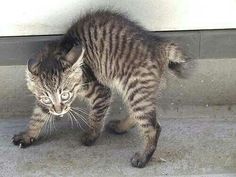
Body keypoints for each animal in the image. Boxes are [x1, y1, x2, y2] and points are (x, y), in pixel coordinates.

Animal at [12, 10, 190, 168]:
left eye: (65, 94)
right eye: (46, 98)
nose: (58, 111)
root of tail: (159, 47)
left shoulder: (101, 91)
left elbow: (96, 116)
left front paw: (91, 136)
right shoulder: (44, 102)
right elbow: (37, 116)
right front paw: (28, 135)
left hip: (136, 88)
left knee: (153, 127)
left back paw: (143, 157)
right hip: (139, 91)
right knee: (138, 115)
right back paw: (121, 127)